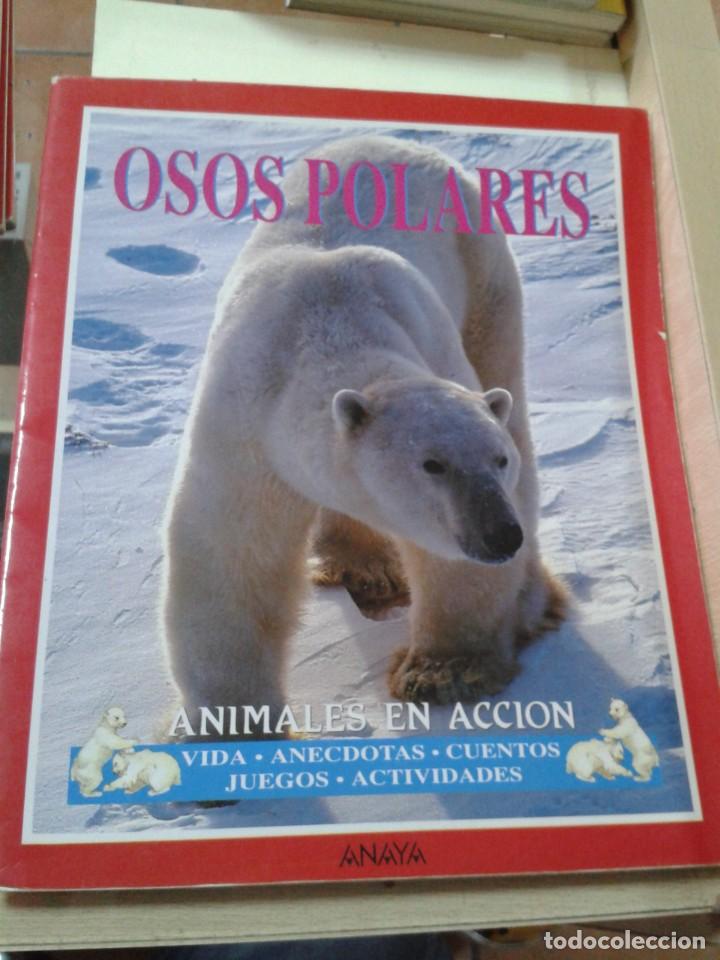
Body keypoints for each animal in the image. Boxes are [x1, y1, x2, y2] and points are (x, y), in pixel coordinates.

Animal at [161, 135, 566, 726]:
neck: (327, 323)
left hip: (483, 272)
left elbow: (450, 565)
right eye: (432, 464)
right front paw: (234, 723)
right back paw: (360, 567)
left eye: (499, 460)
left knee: (503, 373)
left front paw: (443, 673)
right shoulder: (244, 423)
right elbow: (229, 552)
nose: (499, 534)